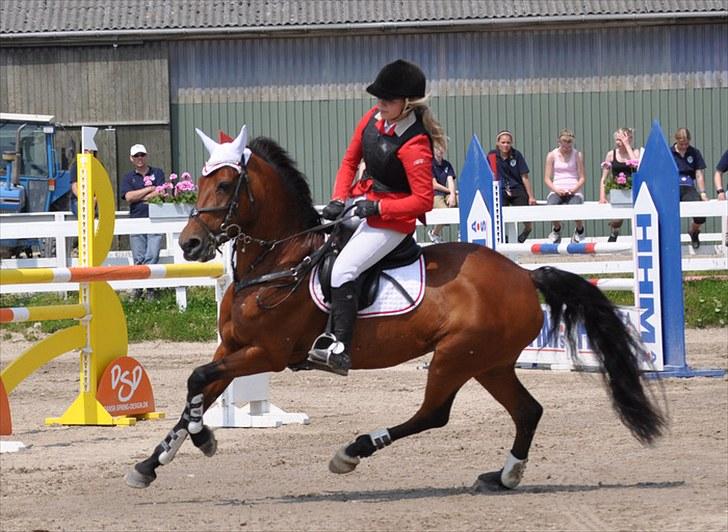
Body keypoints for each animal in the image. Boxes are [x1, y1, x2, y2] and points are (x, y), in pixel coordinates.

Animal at [126, 128, 665, 490]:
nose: (191, 244)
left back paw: (351, 451)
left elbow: (197, 380)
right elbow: (197, 389)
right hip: (489, 362)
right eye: (198, 184)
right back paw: (505, 475)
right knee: (527, 410)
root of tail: (523, 276)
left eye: (224, 186)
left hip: (456, 357)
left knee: (434, 414)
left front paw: (205, 440)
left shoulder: (268, 353)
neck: (280, 259)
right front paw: (152, 464)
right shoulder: (232, 348)